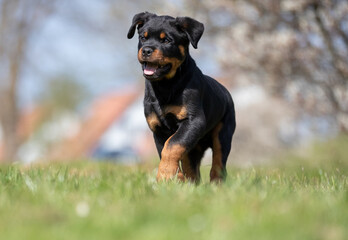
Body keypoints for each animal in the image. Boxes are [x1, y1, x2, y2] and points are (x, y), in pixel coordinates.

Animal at [128, 12, 237, 183]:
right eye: (143, 38)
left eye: (166, 40)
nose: (146, 50)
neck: (165, 85)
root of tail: (226, 92)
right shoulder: (158, 128)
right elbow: (166, 148)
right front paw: (174, 177)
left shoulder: (193, 121)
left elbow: (172, 145)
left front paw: (165, 173)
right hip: (194, 146)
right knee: (191, 166)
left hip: (223, 132)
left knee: (218, 163)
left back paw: (216, 184)